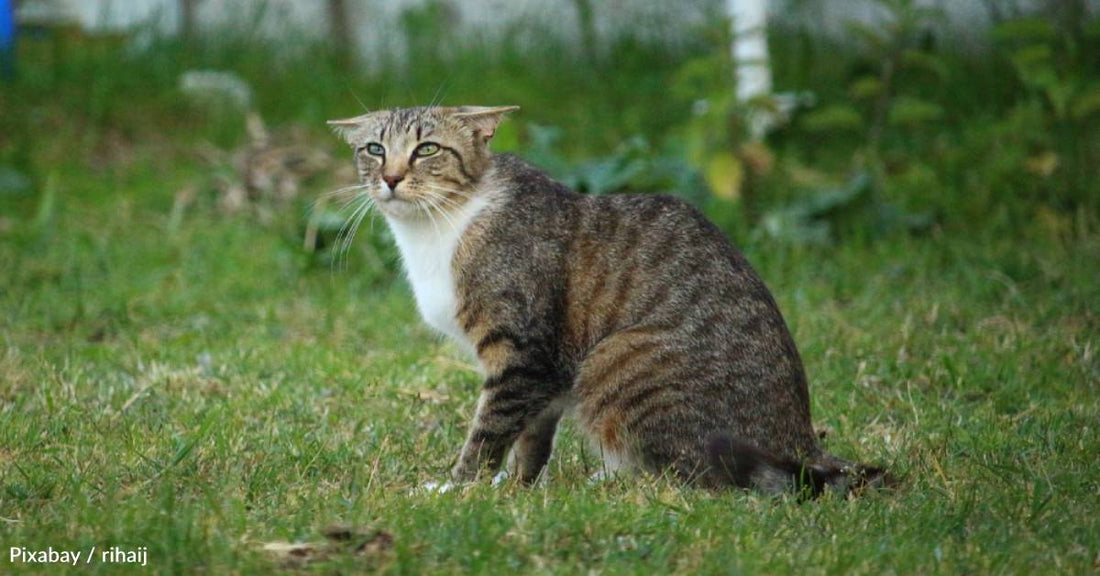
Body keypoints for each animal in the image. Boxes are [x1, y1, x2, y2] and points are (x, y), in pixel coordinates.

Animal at [325, 104, 884, 494]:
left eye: (427, 149)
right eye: (374, 149)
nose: (391, 177)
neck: (439, 225)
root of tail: (802, 442)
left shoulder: (522, 351)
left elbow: (489, 430)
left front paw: (458, 487)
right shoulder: (547, 373)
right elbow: (530, 438)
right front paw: (517, 487)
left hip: (614, 359)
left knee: (695, 478)